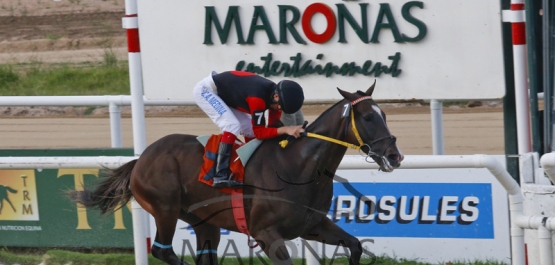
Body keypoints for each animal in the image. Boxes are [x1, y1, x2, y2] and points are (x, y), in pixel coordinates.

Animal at [71, 83, 406, 264]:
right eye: (367, 117)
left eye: (385, 115)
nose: (395, 155)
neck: (300, 168)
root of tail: (141, 159)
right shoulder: (266, 234)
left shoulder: (312, 225)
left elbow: (355, 245)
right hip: (164, 209)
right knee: (163, 251)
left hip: (204, 222)